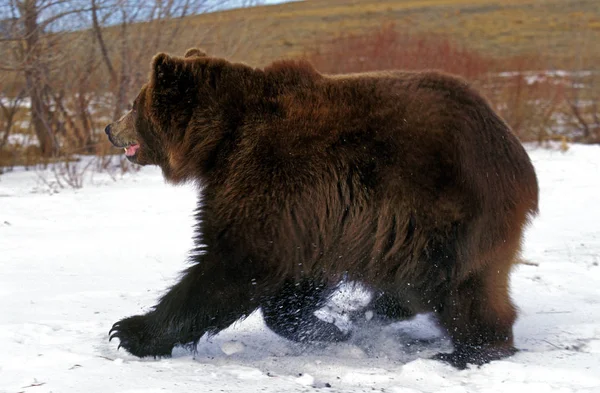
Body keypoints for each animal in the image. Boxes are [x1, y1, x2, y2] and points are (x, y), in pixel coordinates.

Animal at [105, 48, 540, 368]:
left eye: (134, 104)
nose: (110, 128)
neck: (222, 139)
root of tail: (516, 153)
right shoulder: (318, 212)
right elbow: (295, 274)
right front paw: (325, 327)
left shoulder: (272, 177)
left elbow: (234, 261)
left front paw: (131, 331)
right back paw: (376, 310)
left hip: (445, 215)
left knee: (460, 287)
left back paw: (468, 349)